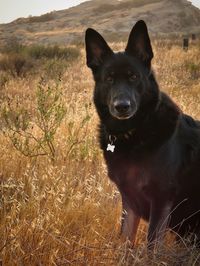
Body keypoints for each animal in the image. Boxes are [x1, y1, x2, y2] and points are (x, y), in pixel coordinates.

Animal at [85, 20, 200, 249]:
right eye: (109, 79)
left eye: (134, 77)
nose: (122, 107)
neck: (133, 134)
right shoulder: (129, 199)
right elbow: (124, 242)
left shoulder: (161, 200)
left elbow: (151, 247)